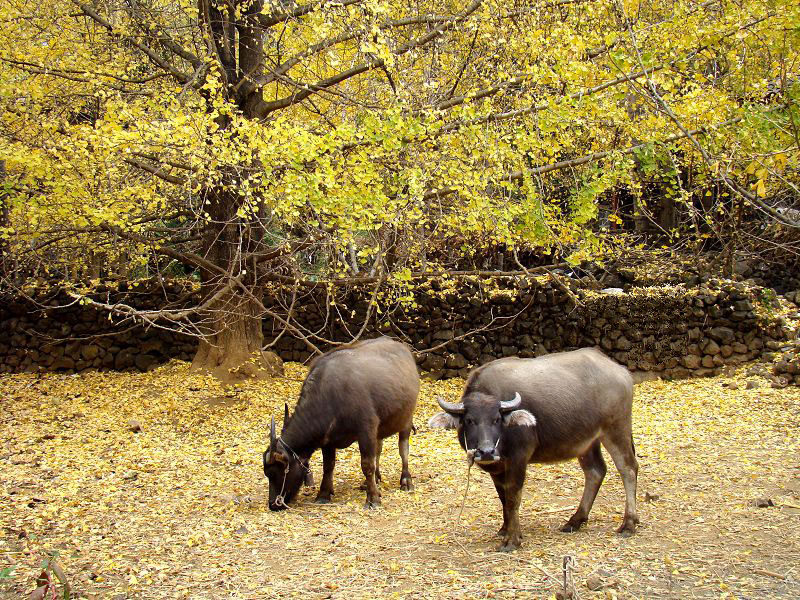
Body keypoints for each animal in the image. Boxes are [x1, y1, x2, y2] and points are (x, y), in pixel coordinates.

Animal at [263, 337, 419, 510]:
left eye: (276, 471)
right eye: (267, 473)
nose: (273, 504)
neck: (331, 395)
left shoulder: (366, 430)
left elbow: (367, 465)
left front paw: (373, 498)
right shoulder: (327, 440)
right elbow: (328, 465)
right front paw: (323, 494)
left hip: (406, 419)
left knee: (403, 449)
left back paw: (406, 481)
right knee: (378, 449)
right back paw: (373, 480)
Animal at [429, 348, 639, 551]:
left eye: (496, 419)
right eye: (470, 420)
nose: (486, 451)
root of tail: (621, 371)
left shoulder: (518, 459)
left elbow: (513, 497)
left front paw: (512, 540)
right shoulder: (498, 468)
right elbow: (503, 497)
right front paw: (505, 529)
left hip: (616, 429)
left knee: (628, 468)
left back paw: (628, 524)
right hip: (587, 441)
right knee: (595, 471)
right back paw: (575, 520)